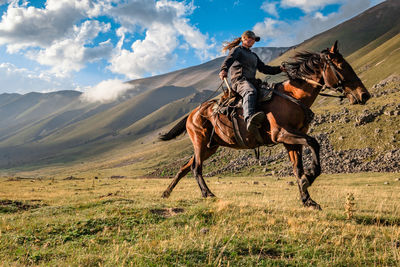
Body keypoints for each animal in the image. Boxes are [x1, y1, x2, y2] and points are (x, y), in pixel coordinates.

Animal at [158, 40, 370, 210]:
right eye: (341, 65)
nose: (364, 95)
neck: (293, 97)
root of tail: (192, 113)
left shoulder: (290, 141)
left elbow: (297, 169)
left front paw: (307, 199)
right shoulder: (282, 134)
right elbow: (314, 143)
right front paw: (309, 179)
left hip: (211, 146)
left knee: (186, 167)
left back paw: (167, 193)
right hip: (200, 142)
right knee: (196, 167)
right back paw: (207, 194)